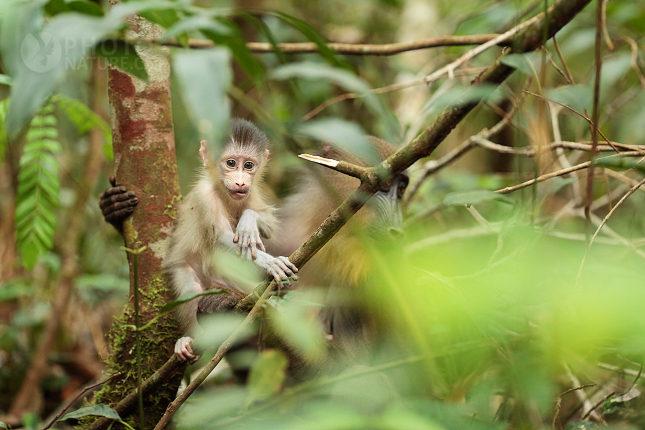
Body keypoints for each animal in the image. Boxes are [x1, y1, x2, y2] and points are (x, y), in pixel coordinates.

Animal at [165, 119, 298, 364]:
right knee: (190, 287)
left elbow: (268, 224)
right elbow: (222, 239)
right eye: (230, 163)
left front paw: (248, 221)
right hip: (187, 272)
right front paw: (271, 262)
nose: (240, 182)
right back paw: (190, 339)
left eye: (248, 165)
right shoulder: (204, 196)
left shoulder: (252, 193)